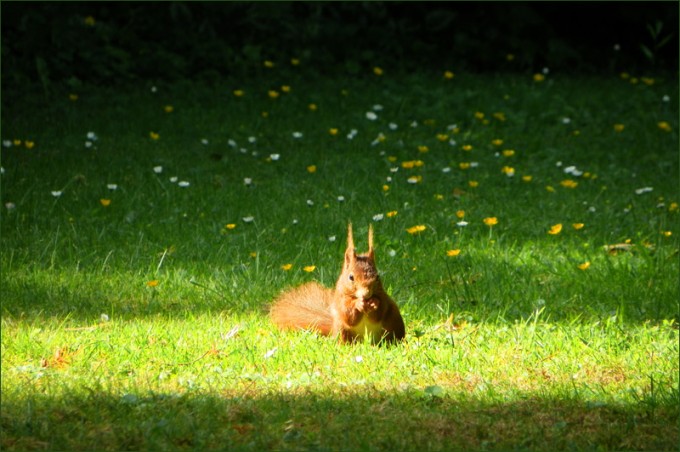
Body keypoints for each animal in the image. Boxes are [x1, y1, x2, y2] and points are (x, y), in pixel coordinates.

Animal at [270, 223, 405, 344]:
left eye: (377, 277)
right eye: (351, 277)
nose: (366, 294)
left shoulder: (384, 298)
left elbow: (380, 310)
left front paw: (374, 302)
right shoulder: (340, 299)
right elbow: (348, 313)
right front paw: (358, 304)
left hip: (393, 322)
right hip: (342, 328)